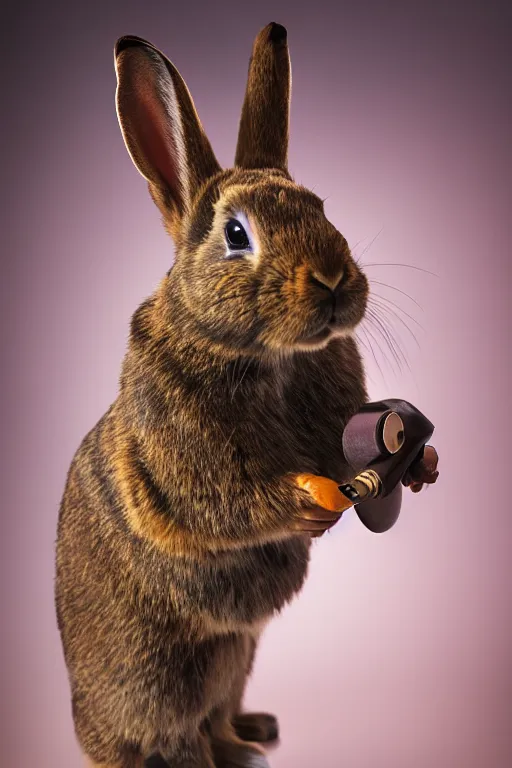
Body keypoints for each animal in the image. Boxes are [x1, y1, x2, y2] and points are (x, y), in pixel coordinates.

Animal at [55, 19, 368, 768]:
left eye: (322, 209)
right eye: (235, 234)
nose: (333, 280)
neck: (267, 355)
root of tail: (89, 732)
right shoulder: (185, 465)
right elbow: (223, 505)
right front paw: (310, 501)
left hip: (238, 655)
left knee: (219, 712)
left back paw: (253, 738)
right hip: (169, 674)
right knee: (175, 731)